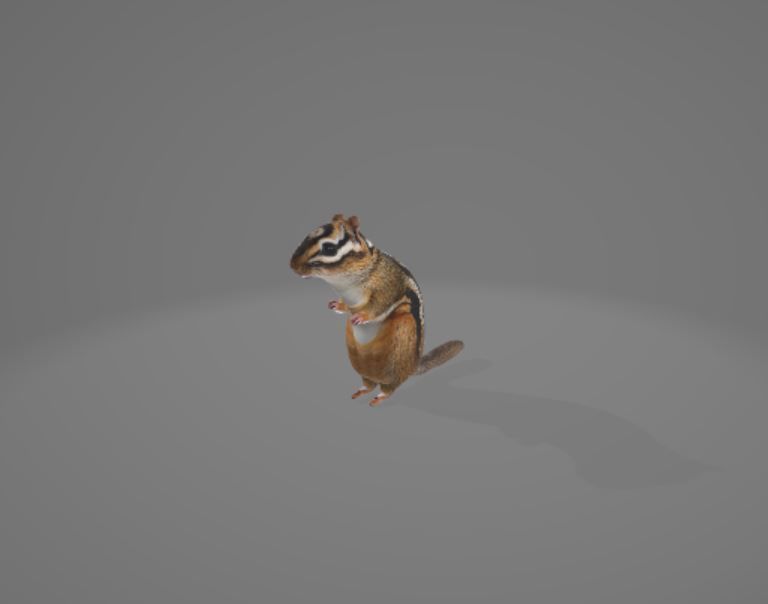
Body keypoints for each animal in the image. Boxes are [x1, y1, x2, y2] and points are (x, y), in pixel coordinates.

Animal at [290, 213, 464, 406]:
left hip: (400, 341)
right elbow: (346, 305)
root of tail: (412, 365)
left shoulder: (387, 285)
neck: (343, 282)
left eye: (329, 248)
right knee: (369, 382)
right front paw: (337, 305)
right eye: (306, 237)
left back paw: (380, 397)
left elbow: (379, 303)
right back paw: (362, 390)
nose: (292, 265)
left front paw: (361, 316)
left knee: (390, 387)